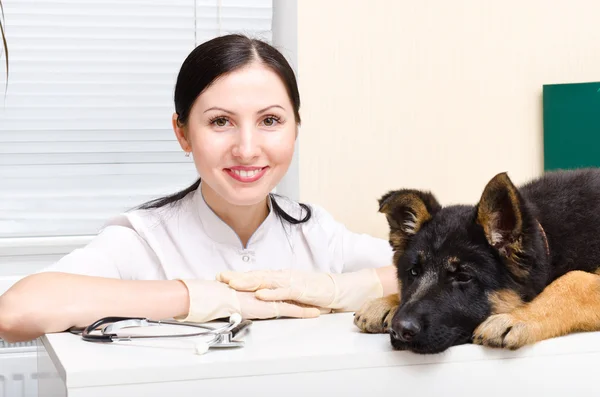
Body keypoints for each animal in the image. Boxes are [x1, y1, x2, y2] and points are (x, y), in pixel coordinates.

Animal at [354, 167, 600, 352]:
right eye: (413, 273)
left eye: (463, 277)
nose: (399, 330)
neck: (547, 236)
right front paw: (387, 302)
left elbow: (574, 279)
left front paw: (518, 317)